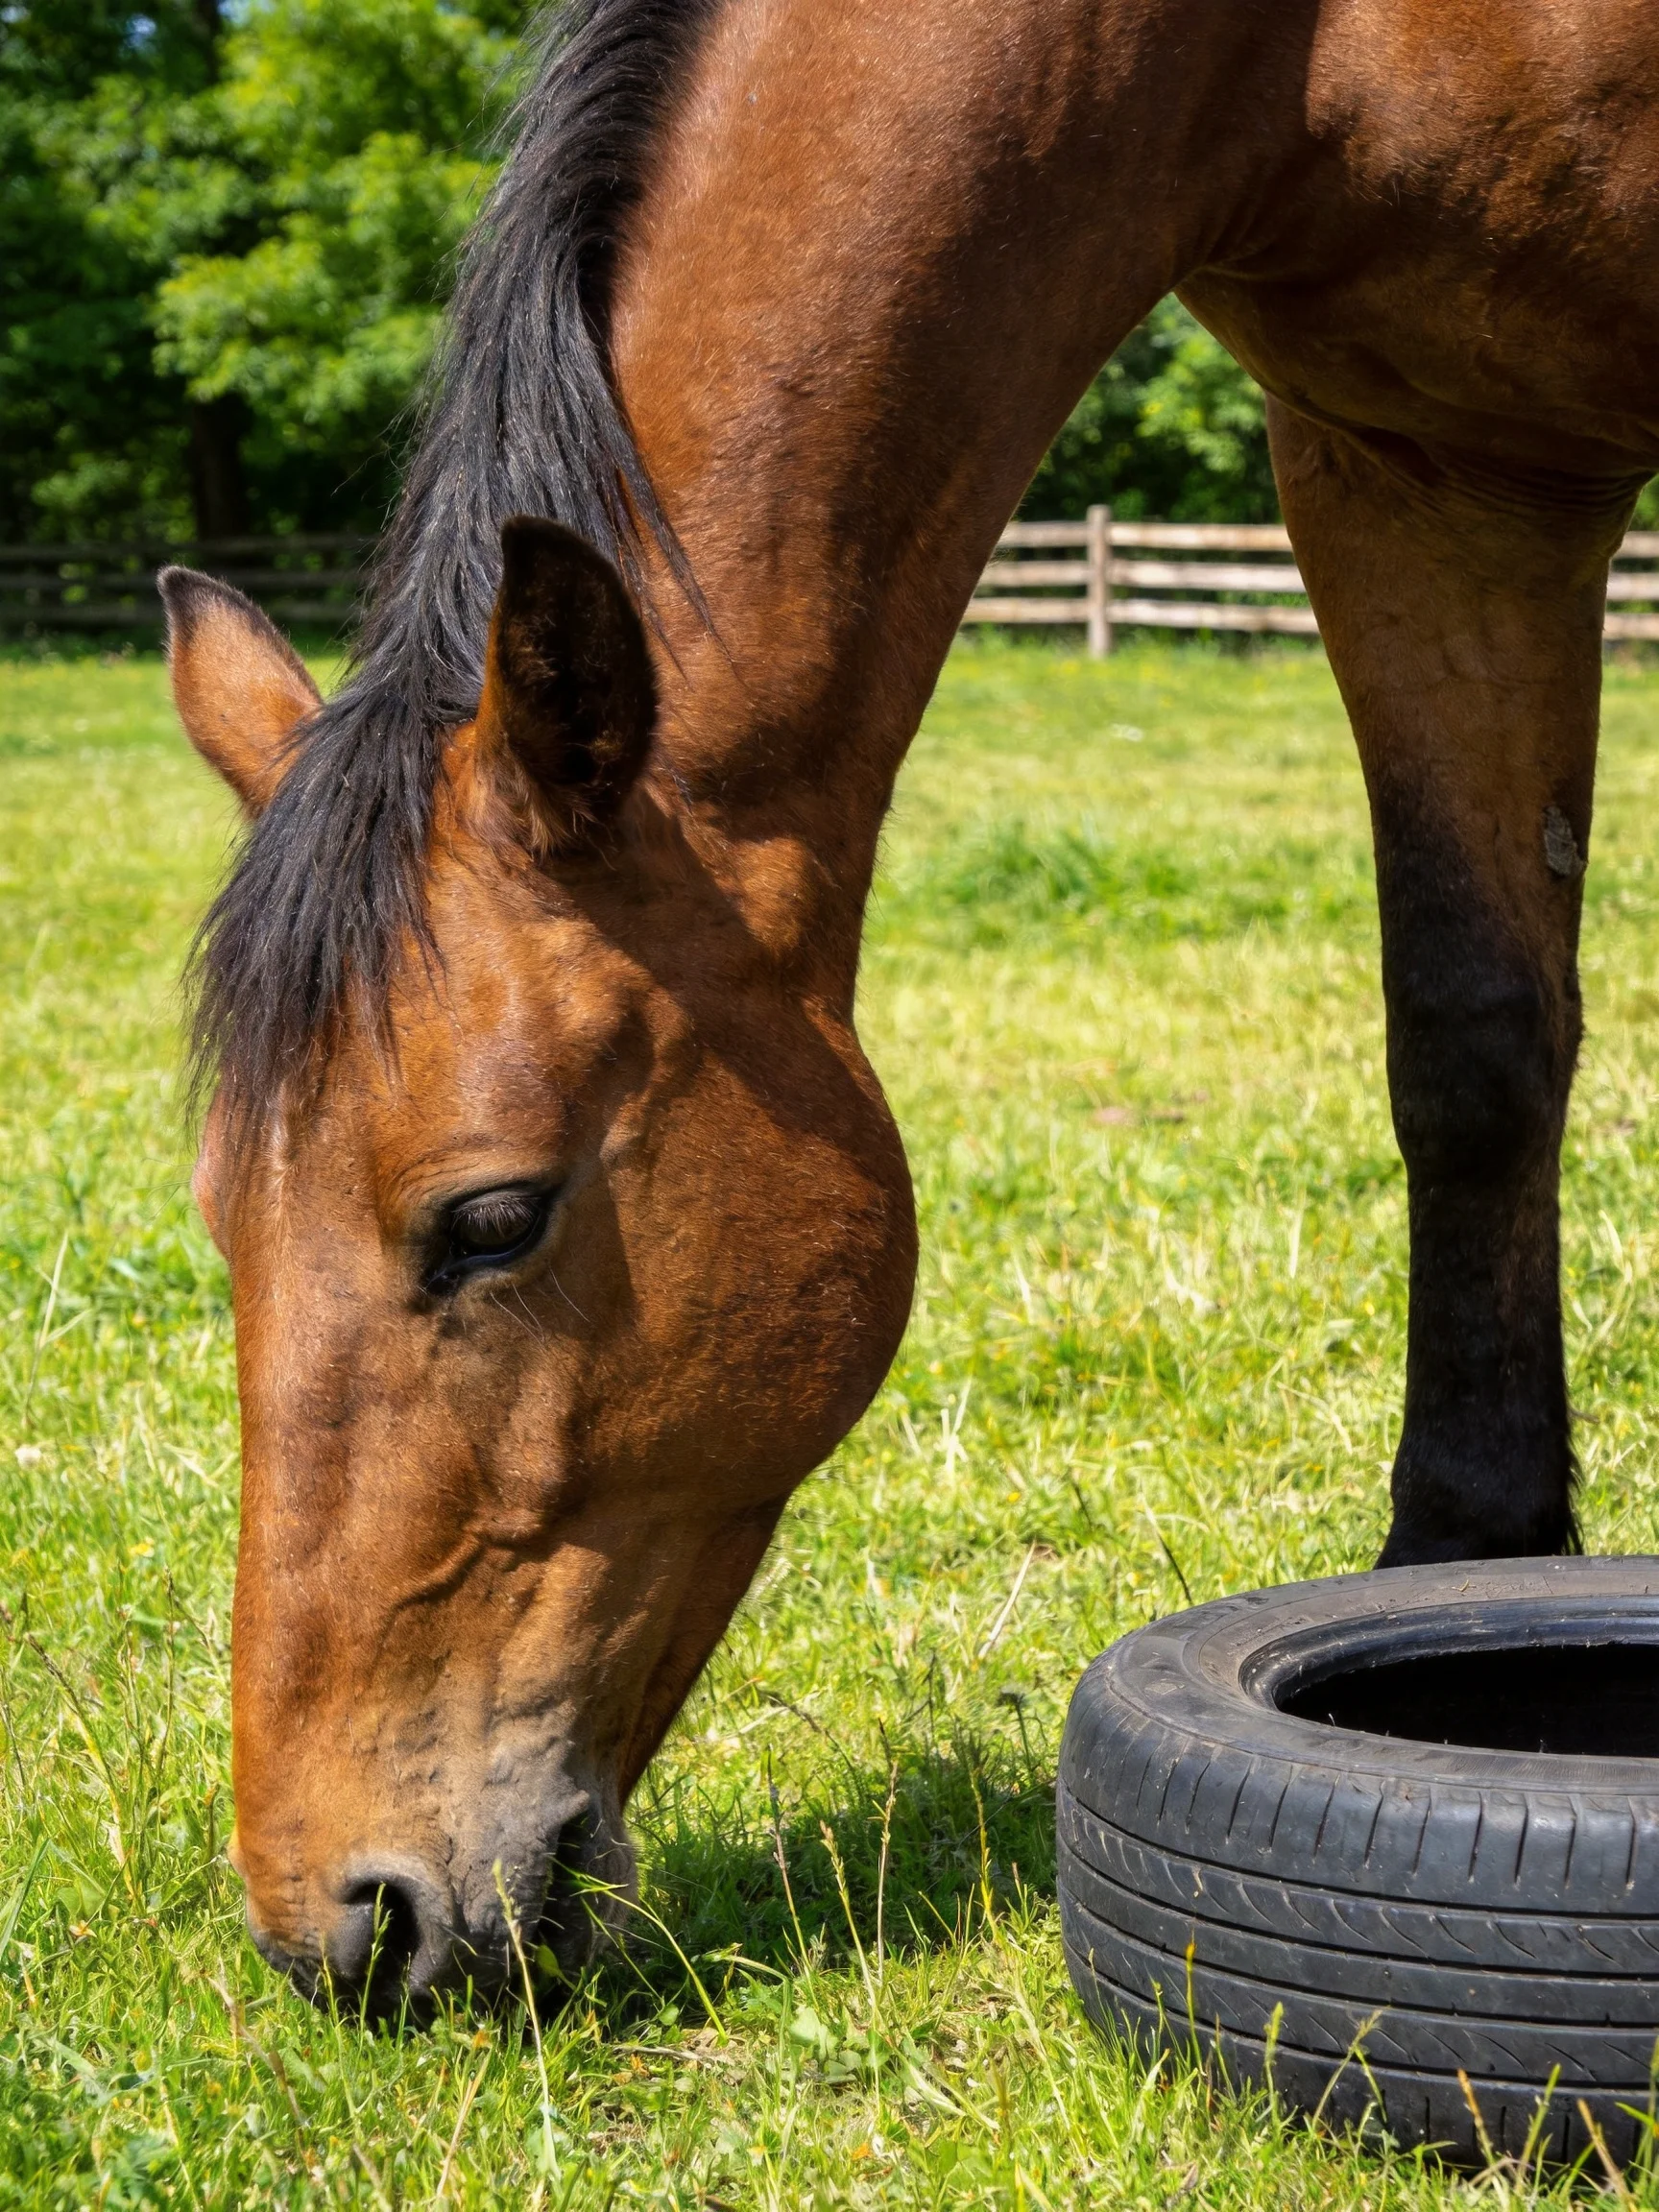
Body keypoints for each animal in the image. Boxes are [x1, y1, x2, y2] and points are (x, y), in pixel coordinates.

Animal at [159, 0, 1659, 2009]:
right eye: (219, 1223)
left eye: (489, 1218)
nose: (346, 1920)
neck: (1284, 55)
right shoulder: (1426, 466)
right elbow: (1473, 1036)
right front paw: (1460, 1551)